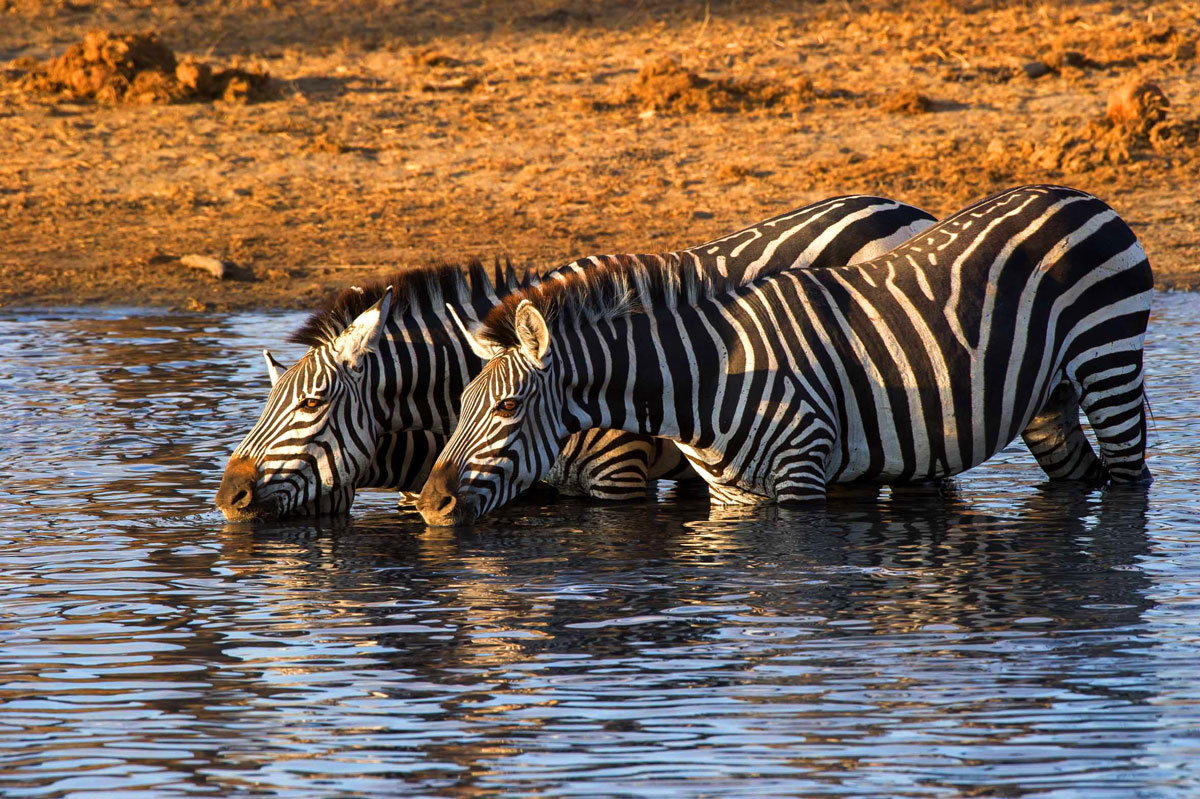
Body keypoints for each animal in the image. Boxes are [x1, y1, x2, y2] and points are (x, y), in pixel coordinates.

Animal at [417, 185, 1153, 526]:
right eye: (460, 402)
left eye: (508, 407)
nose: (429, 503)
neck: (705, 378)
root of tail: (1075, 194)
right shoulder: (731, 496)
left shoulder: (802, 475)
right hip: (1047, 399)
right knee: (1078, 474)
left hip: (1110, 363)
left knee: (1129, 481)